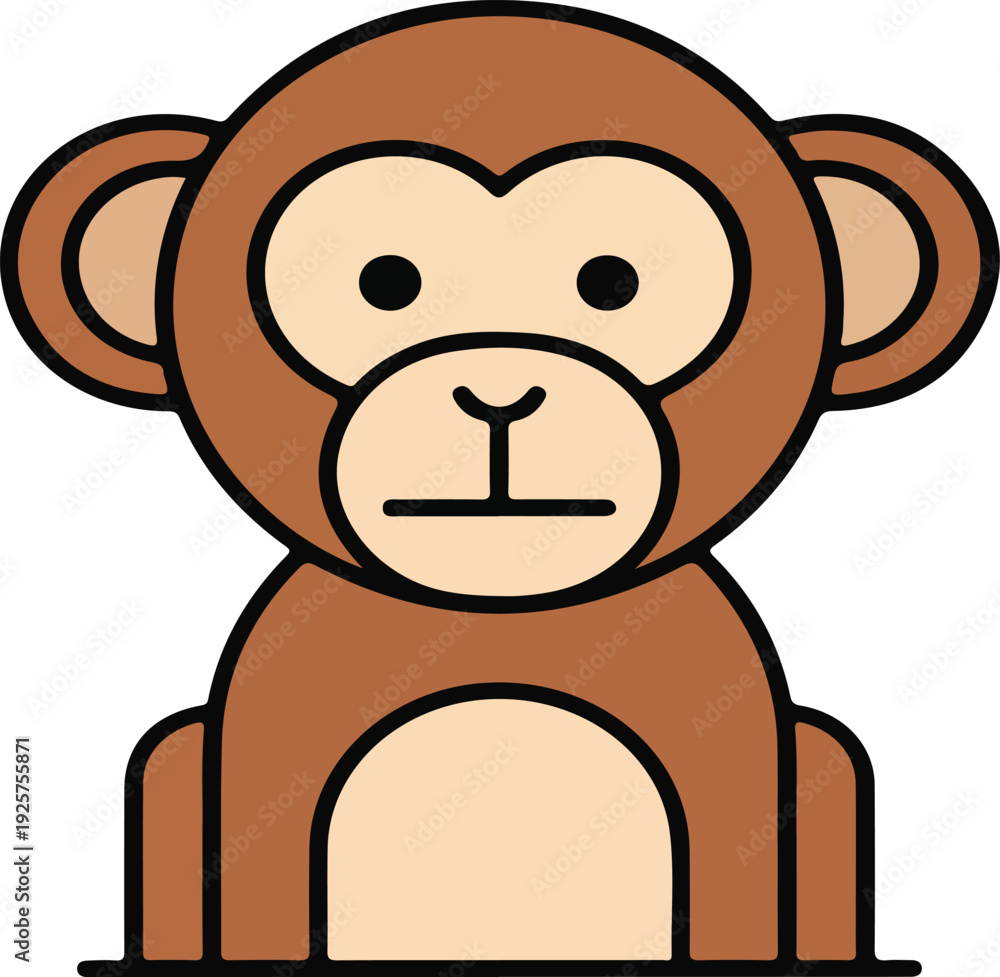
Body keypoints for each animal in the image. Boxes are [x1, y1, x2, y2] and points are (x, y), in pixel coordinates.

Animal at [2, 2, 996, 972]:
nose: (499, 397)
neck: (498, 618)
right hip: (177, 756)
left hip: (823, 756)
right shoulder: (265, 740)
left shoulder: (733, 746)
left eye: (614, 281)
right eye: (383, 281)